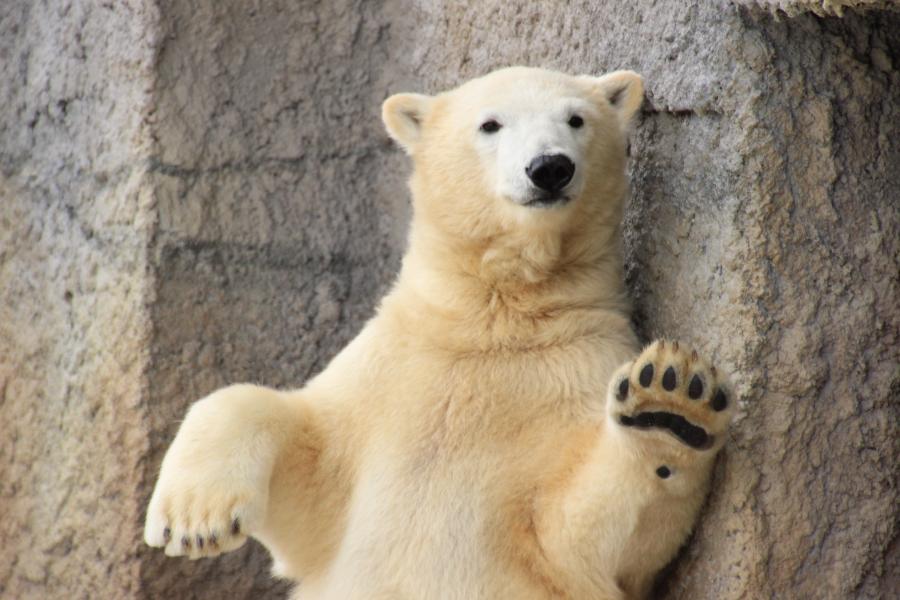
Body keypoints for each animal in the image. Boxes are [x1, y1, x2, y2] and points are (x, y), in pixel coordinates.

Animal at [142, 67, 732, 600]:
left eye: (576, 119)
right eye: (490, 123)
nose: (550, 167)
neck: (496, 316)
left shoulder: (581, 370)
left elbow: (579, 540)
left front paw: (670, 404)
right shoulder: (387, 369)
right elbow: (299, 457)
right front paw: (193, 520)